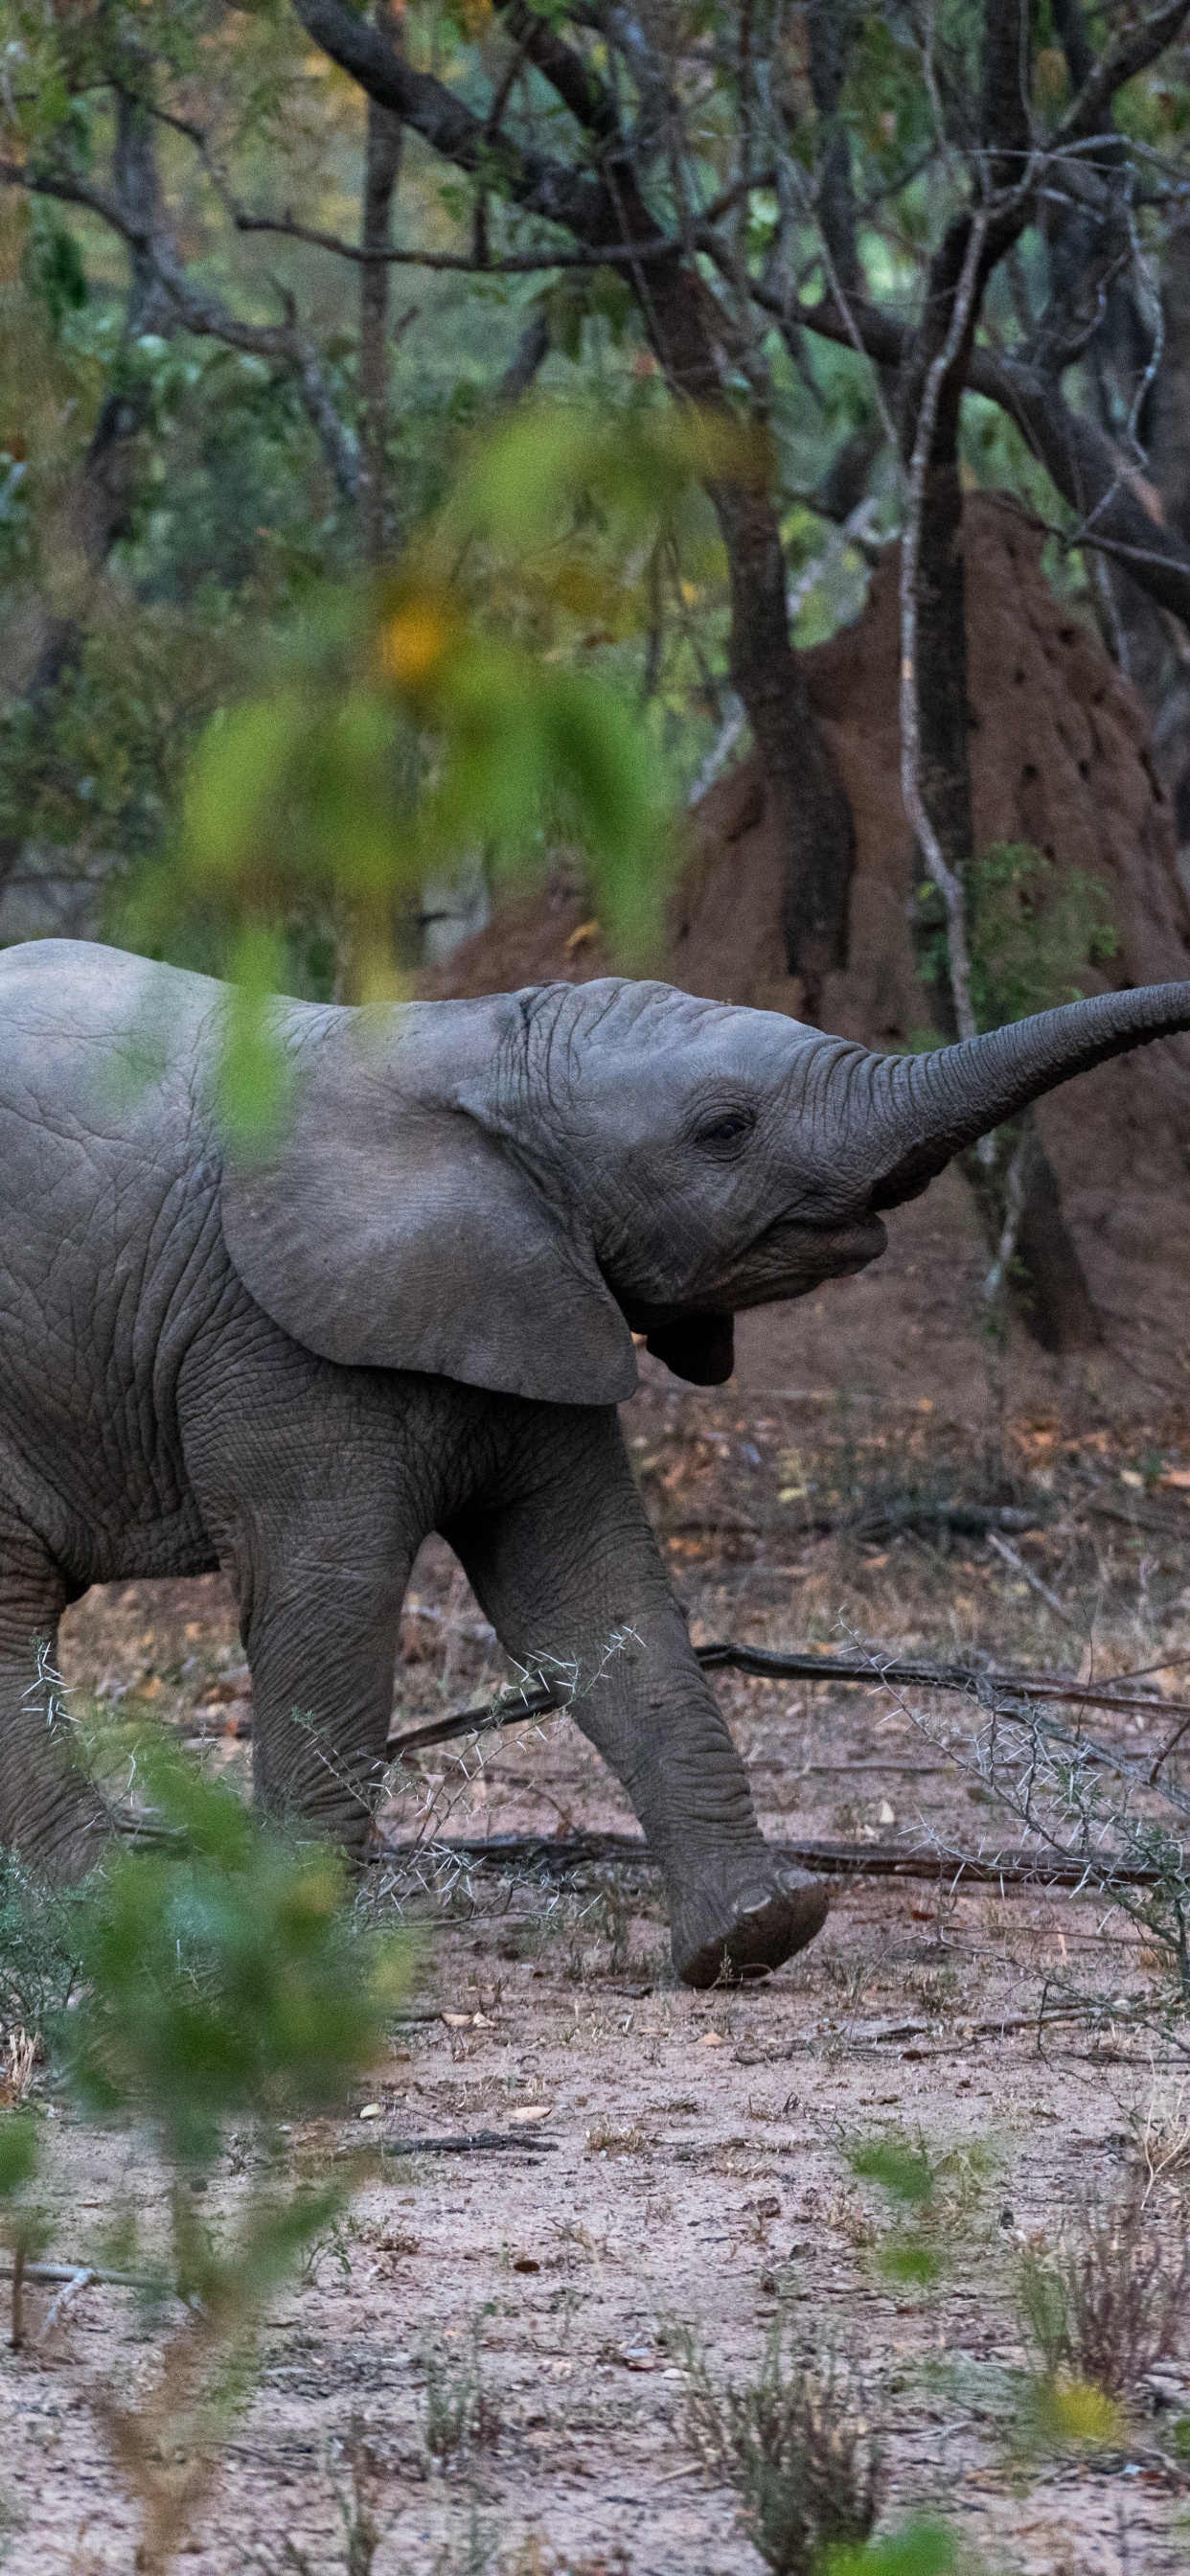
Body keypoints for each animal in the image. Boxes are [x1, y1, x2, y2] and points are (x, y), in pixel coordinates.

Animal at [2, 937, 1189, 1985]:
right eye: (724, 1129)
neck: (479, 1047)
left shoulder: (538, 1293)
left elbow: (591, 1596)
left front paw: (754, 1939)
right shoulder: (268, 1340)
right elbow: (330, 1610)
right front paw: (281, 1969)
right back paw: (116, 1936)